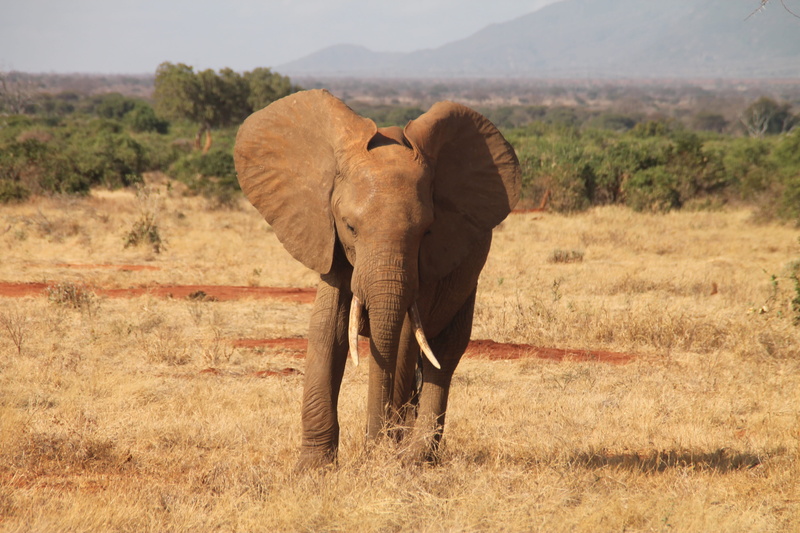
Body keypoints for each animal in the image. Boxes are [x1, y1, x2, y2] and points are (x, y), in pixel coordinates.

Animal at [234, 89, 520, 469]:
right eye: (350, 226)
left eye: (426, 232)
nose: (374, 446)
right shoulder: (328, 238)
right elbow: (327, 326)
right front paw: (314, 467)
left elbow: (403, 337)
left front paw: (384, 456)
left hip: (469, 279)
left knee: (443, 353)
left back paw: (415, 457)